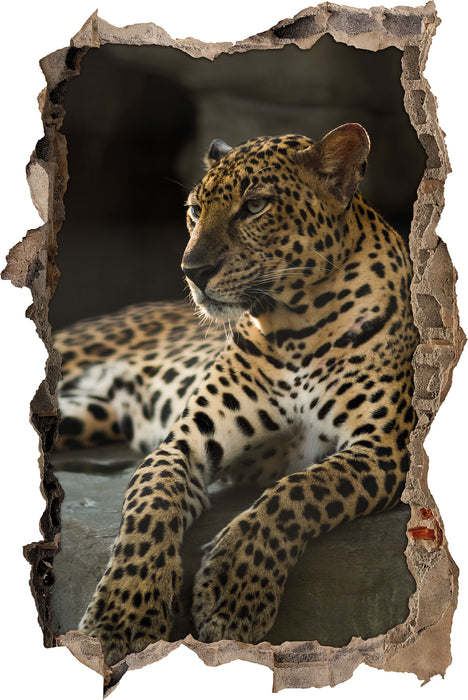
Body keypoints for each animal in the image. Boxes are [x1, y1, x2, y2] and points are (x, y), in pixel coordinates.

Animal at [54, 123, 418, 665]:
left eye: (256, 206)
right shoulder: (183, 443)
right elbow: (149, 506)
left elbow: (299, 492)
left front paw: (232, 591)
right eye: (194, 210)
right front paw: (123, 614)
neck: (296, 326)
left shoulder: (383, 450)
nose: (193, 271)